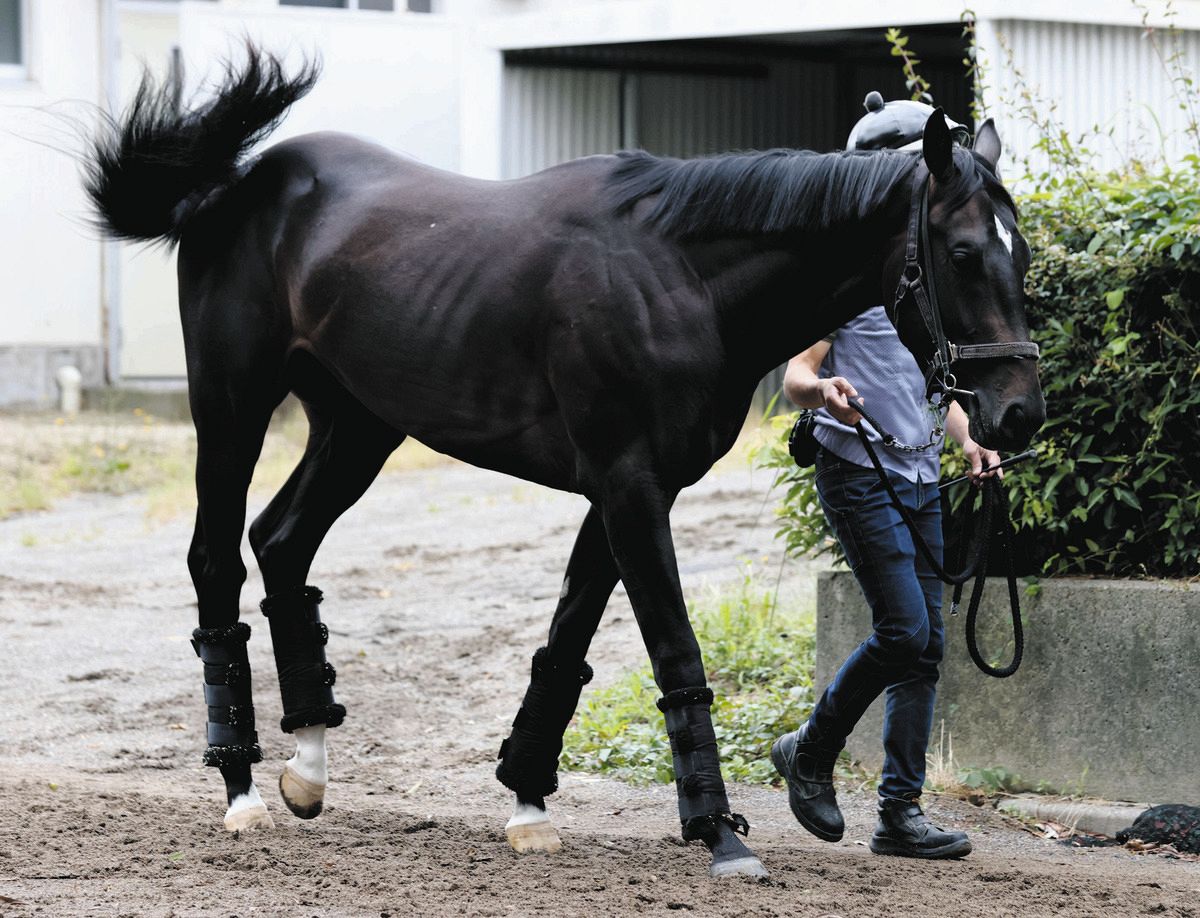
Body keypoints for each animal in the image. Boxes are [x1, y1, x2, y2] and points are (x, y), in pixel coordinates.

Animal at [84, 46, 1044, 879]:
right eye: (963, 252)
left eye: (1023, 248)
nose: (1017, 413)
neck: (679, 276)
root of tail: (237, 185)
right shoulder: (628, 486)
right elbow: (675, 652)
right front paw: (720, 834)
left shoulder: (622, 491)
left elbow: (568, 640)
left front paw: (528, 803)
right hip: (231, 408)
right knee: (216, 559)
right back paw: (241, 787)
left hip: (357, 426)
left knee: (282, 544)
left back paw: (309, 769)